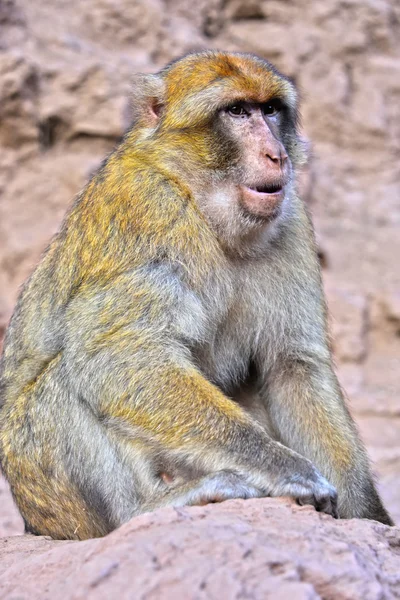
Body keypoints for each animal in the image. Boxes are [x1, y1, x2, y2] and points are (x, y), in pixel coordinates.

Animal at [0, 51, 394, 540]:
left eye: (270, 110)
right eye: (237, 111)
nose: (277, 154)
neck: (200, 198)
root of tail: (35, 523)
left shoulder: (292, 221)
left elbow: (292, 368)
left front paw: (368, 516)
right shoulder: (151, 207)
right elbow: (118, 356)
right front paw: (283, 467)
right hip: (51, 498)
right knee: (64, 378)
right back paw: (145, 511)